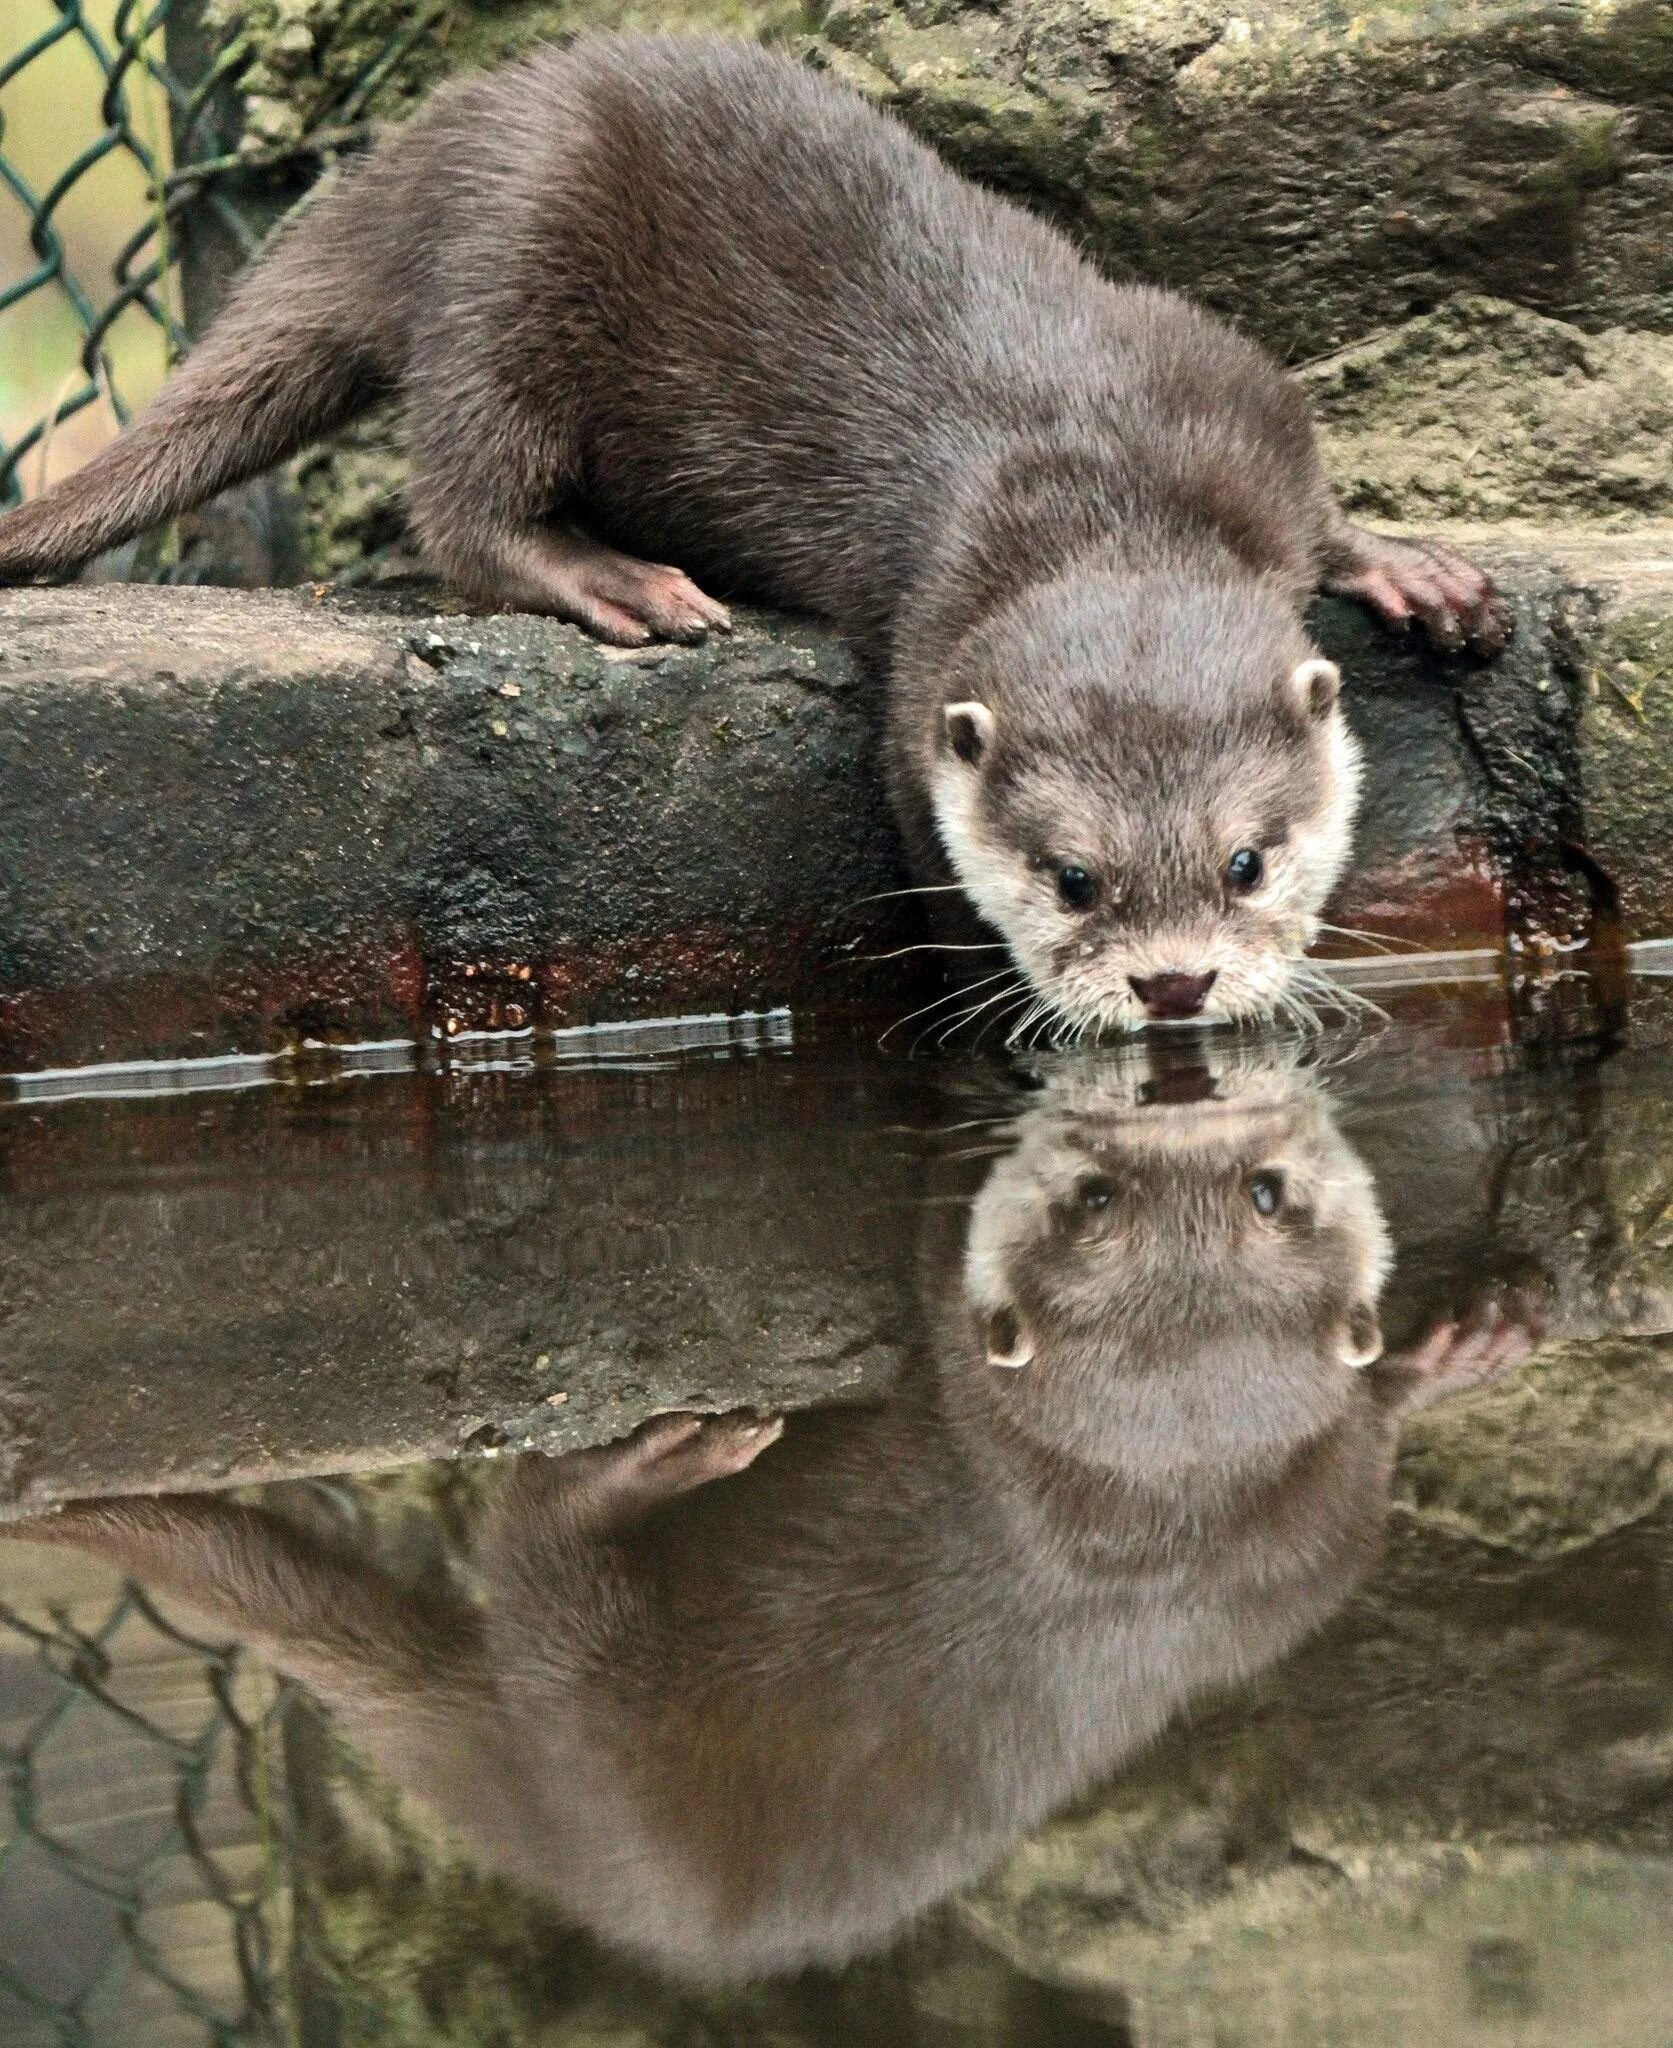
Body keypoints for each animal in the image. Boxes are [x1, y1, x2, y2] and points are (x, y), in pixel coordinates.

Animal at [0, 44, 1507, 1040]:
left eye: (1247, 860)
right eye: (1071, 875)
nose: (1174, 981)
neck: (1100, 475)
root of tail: (433, 148)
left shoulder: (1224, 387)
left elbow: (1313, 510)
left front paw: (1401, 566)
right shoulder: (923, 648)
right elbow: (933, 878)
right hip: (511, 265)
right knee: (464, 492)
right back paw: (616, 582)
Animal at [3, 1048, 1539, 1974]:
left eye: (1269, 1195)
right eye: (1096, 1198)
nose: (1198, 1123)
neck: (1156, 1513)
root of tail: (568, 1850)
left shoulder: (1292, 1538)